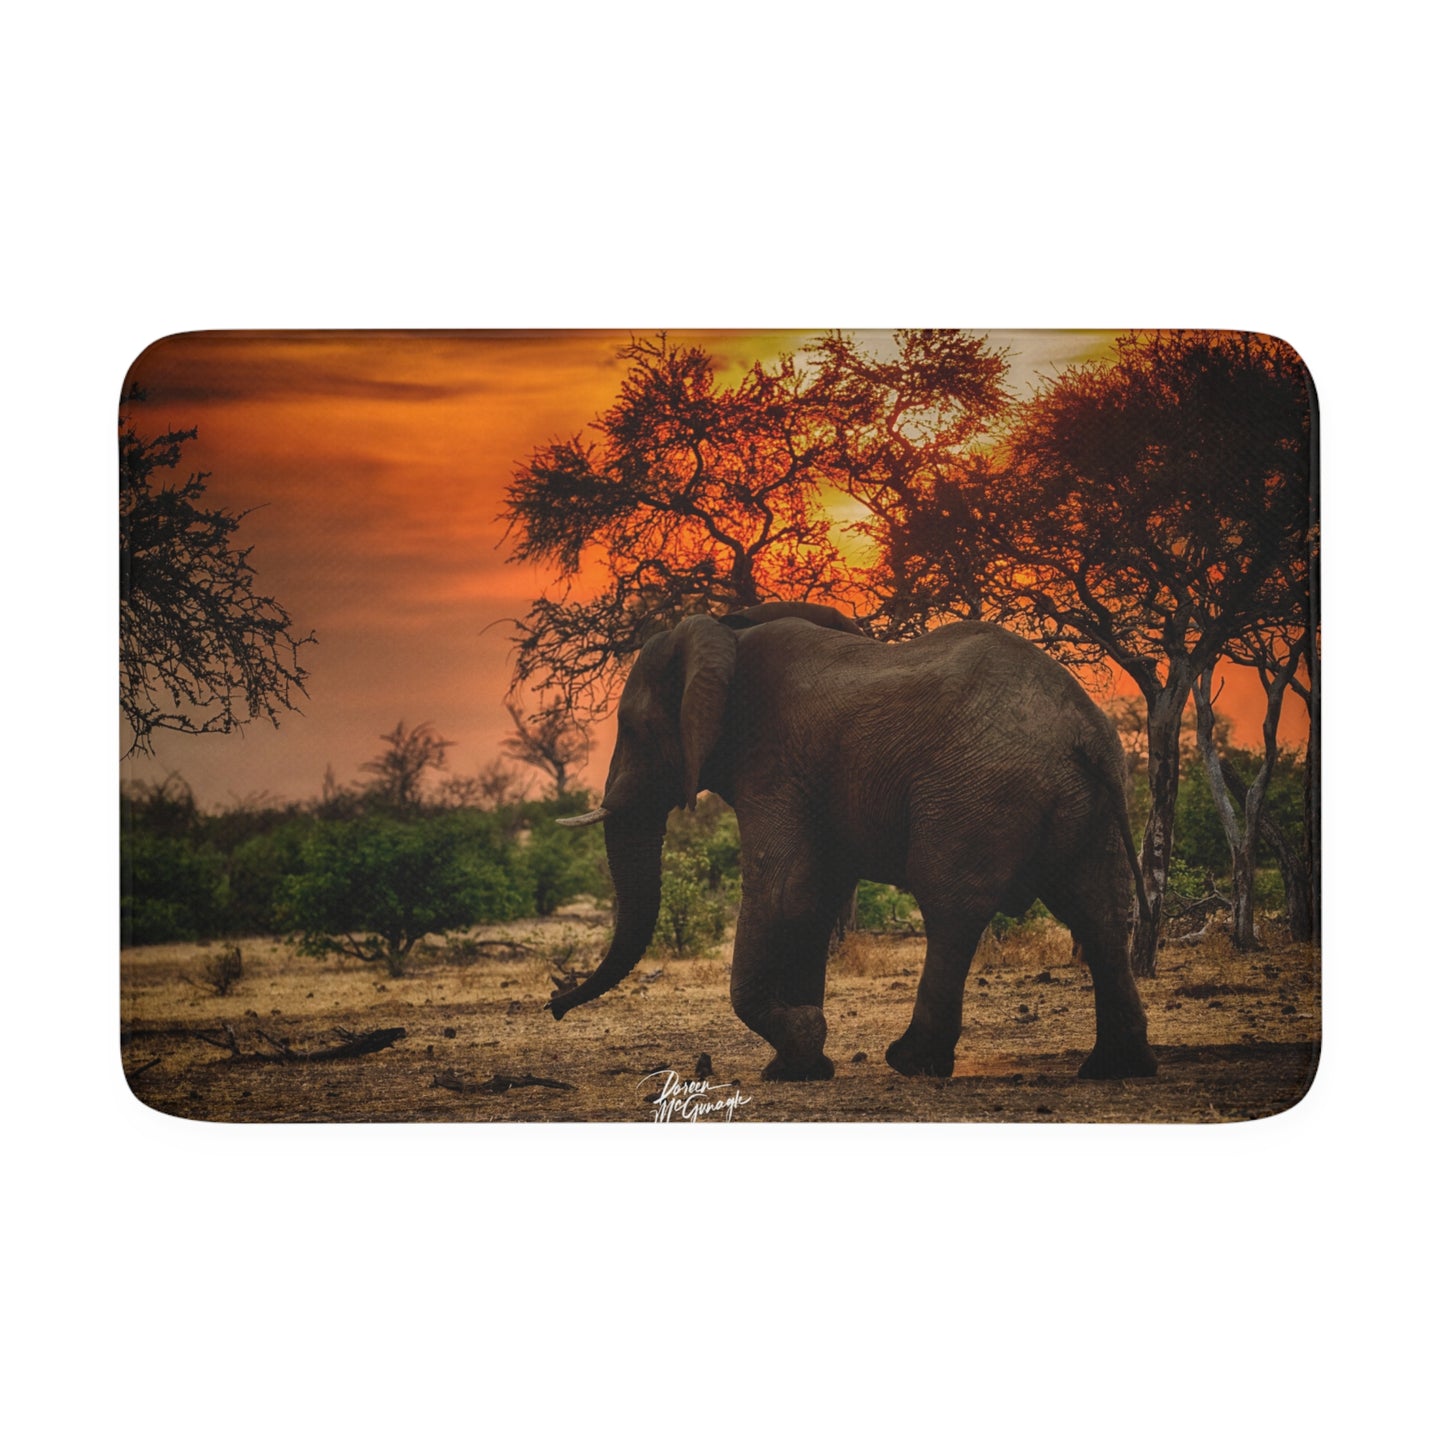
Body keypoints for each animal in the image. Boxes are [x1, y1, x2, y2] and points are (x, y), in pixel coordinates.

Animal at [550, 602, 1157, 1083]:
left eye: (633, 728)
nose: (555, 1006)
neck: (727, 633)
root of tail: (1085, 730)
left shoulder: (774, 767)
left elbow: (779, 891)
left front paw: (802, 1039)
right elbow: (811, 901)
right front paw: (797, 1068)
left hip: (980, 789)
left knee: (951, 905)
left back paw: (912, 1062)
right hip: (1092, 802)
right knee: (1100, 911)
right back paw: (1114, 1067)